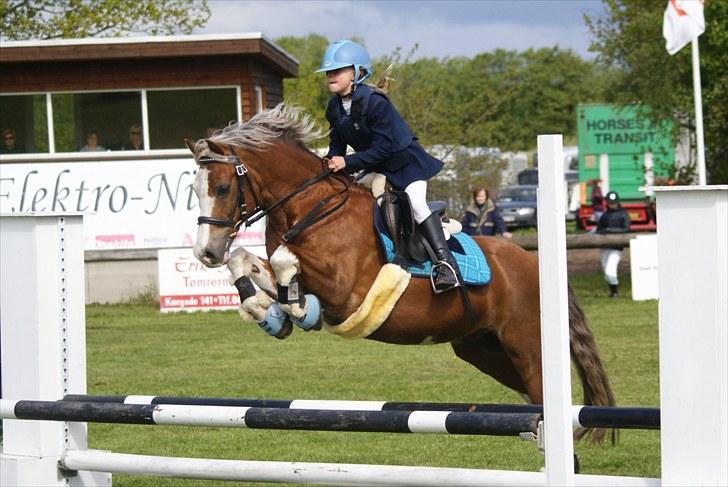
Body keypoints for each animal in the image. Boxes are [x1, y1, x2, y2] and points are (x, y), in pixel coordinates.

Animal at [183, 105, 616, 444]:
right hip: (482, 347)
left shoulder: (343, 289)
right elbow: (247, 260)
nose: (206, 252)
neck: (311, 206)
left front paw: (297, 311)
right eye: (195, 189)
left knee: (543, 389)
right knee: (531, 395)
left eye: (222, 188)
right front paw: (266, 312)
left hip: (525, 343)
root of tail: (533, 262)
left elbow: (285, 265)